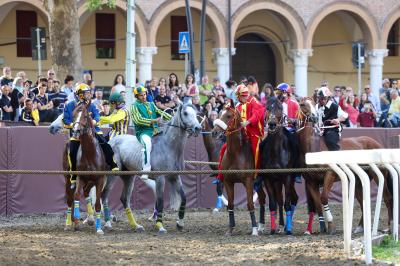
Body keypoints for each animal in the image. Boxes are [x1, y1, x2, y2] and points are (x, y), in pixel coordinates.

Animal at [63, 103, 106, 234]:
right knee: (70, 198)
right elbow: (76, 196)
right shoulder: (80, 177)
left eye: (86, 116)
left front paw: (99, 228)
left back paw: (90, 219)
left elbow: (97, 203)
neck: (90, 153)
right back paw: (69, 223)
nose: (76, 131)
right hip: (68, 178)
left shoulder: (99, 179)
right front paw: (76, 220)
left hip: (91, 180)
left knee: (86, 192)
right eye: (74, 115)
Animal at [106, 104, 202, 233]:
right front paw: (160, 226)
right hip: (112, 175)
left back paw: (136, 226)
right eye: (185, 113)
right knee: (103, 196)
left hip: (129, 177)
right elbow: (160, 201)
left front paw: (180, 223)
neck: (168, 147)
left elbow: (184, 198)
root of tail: (111, 141)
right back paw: (107, 223)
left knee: (124, 199)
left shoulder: (175, 177)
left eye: (196, 113)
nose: (198, 128)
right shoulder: (160, 178)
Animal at [212, 98, 266, 236]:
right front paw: (230, 229)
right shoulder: (228, 181)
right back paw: (261, 226)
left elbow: (250, 204)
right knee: (262, 198)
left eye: (229, 116)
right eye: (219, 113)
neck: (236, 153)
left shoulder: (248, 181)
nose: (214, 132)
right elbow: (230, 205)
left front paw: (253, 229)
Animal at [260, 98, 300, 235]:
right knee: (279, 200)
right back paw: (280, 226)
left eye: (280, 108)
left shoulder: (287, 177)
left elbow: (287, 203)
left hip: (289, 180)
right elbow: (273, 203)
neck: (276, 152)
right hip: (277, 181)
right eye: (267, 107)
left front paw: (288, 230)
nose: (272, 124)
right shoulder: (268, 178)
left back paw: (287, 226)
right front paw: (272, 229)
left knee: (292, 199)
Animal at [296, 99, 394, 235]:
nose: (314, 117)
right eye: (302, 104)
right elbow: (318, 204)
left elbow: (324, 198)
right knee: (363, 201)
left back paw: (390, 227)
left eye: (312, 102)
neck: (313, 148)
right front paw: (322, 227)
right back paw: (360, 227)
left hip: (378, 176)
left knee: (387, 198)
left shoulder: (329, 175)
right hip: (358, 181)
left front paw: (331, 225)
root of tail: (378, 144)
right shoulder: (311, 182)